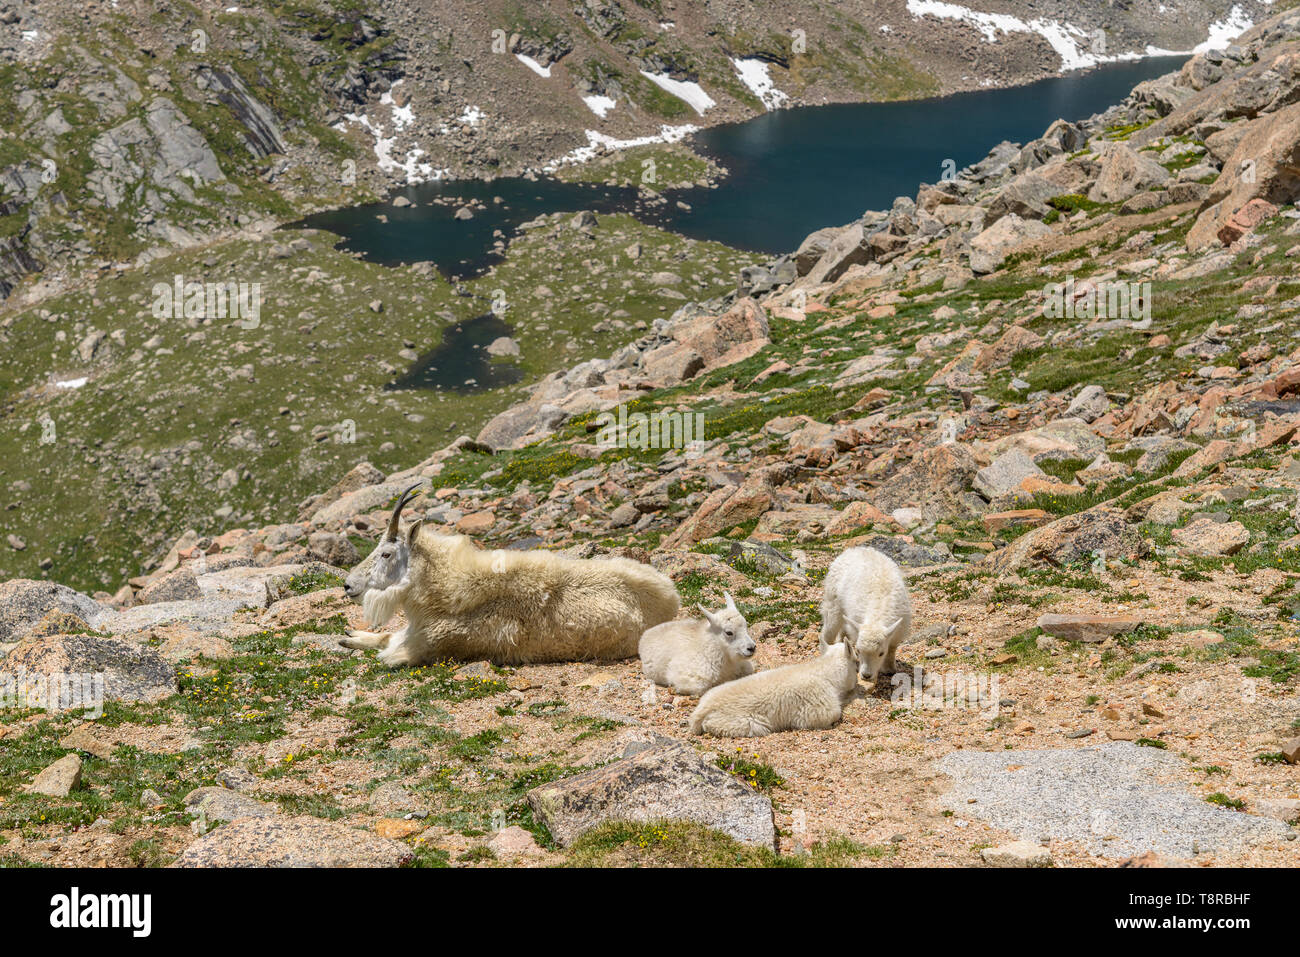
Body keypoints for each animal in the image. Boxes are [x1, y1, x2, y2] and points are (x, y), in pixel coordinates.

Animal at [340, 481, 681, 670]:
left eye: (386, 553)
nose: (348, 585)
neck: (446, 590)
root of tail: (673, 598)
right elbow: (384, 636)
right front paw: (349, 636)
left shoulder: (429, 647)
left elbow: (388, 652)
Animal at [691, 639, 863, 738]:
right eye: (856, 662)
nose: (858, 683)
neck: (826, 672)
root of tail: (700, 712)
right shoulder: (819, 709)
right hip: (746, 723)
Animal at [821, 546, 915, 686]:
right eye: (858, 651)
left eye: (881, 653)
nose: (866, 675)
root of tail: (853, 549)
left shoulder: (899, 630)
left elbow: (892, 648)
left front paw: (890, 669)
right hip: (833, 600)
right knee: (829, 630)